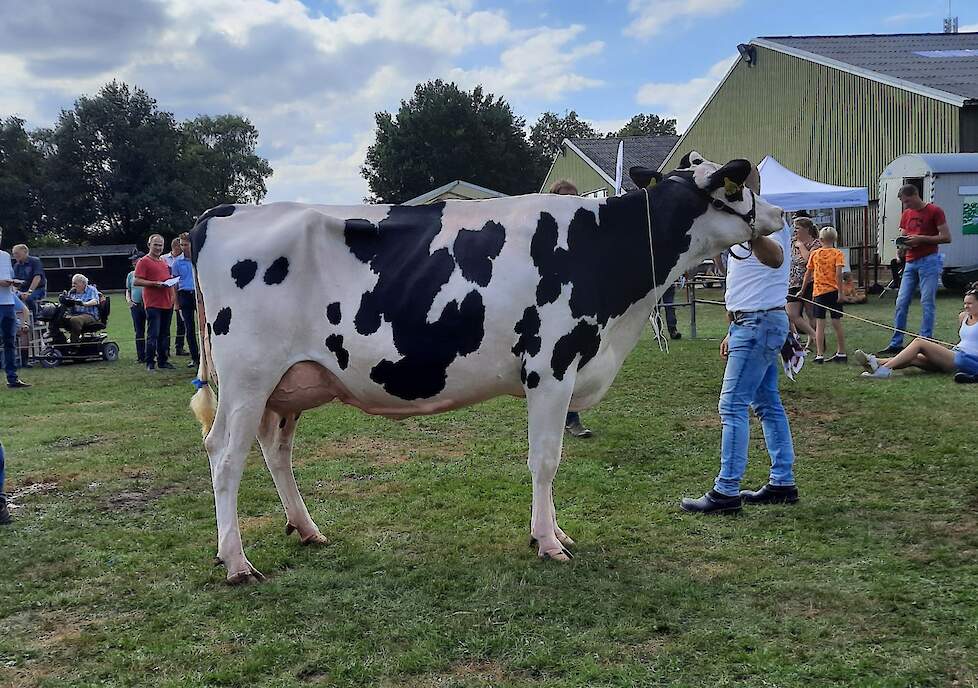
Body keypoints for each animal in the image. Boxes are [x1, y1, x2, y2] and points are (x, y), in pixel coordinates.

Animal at [191, 153, 780, 584]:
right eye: (736, 188)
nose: (778, 215)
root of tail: (220, 214)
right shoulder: (551, 367)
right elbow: (546, 460)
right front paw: (548, 542)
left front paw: (554, 533)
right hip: (247, 377)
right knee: (225, 456)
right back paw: (236, 562)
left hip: (289, 383)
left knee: (275, 450)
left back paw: (305, 529)